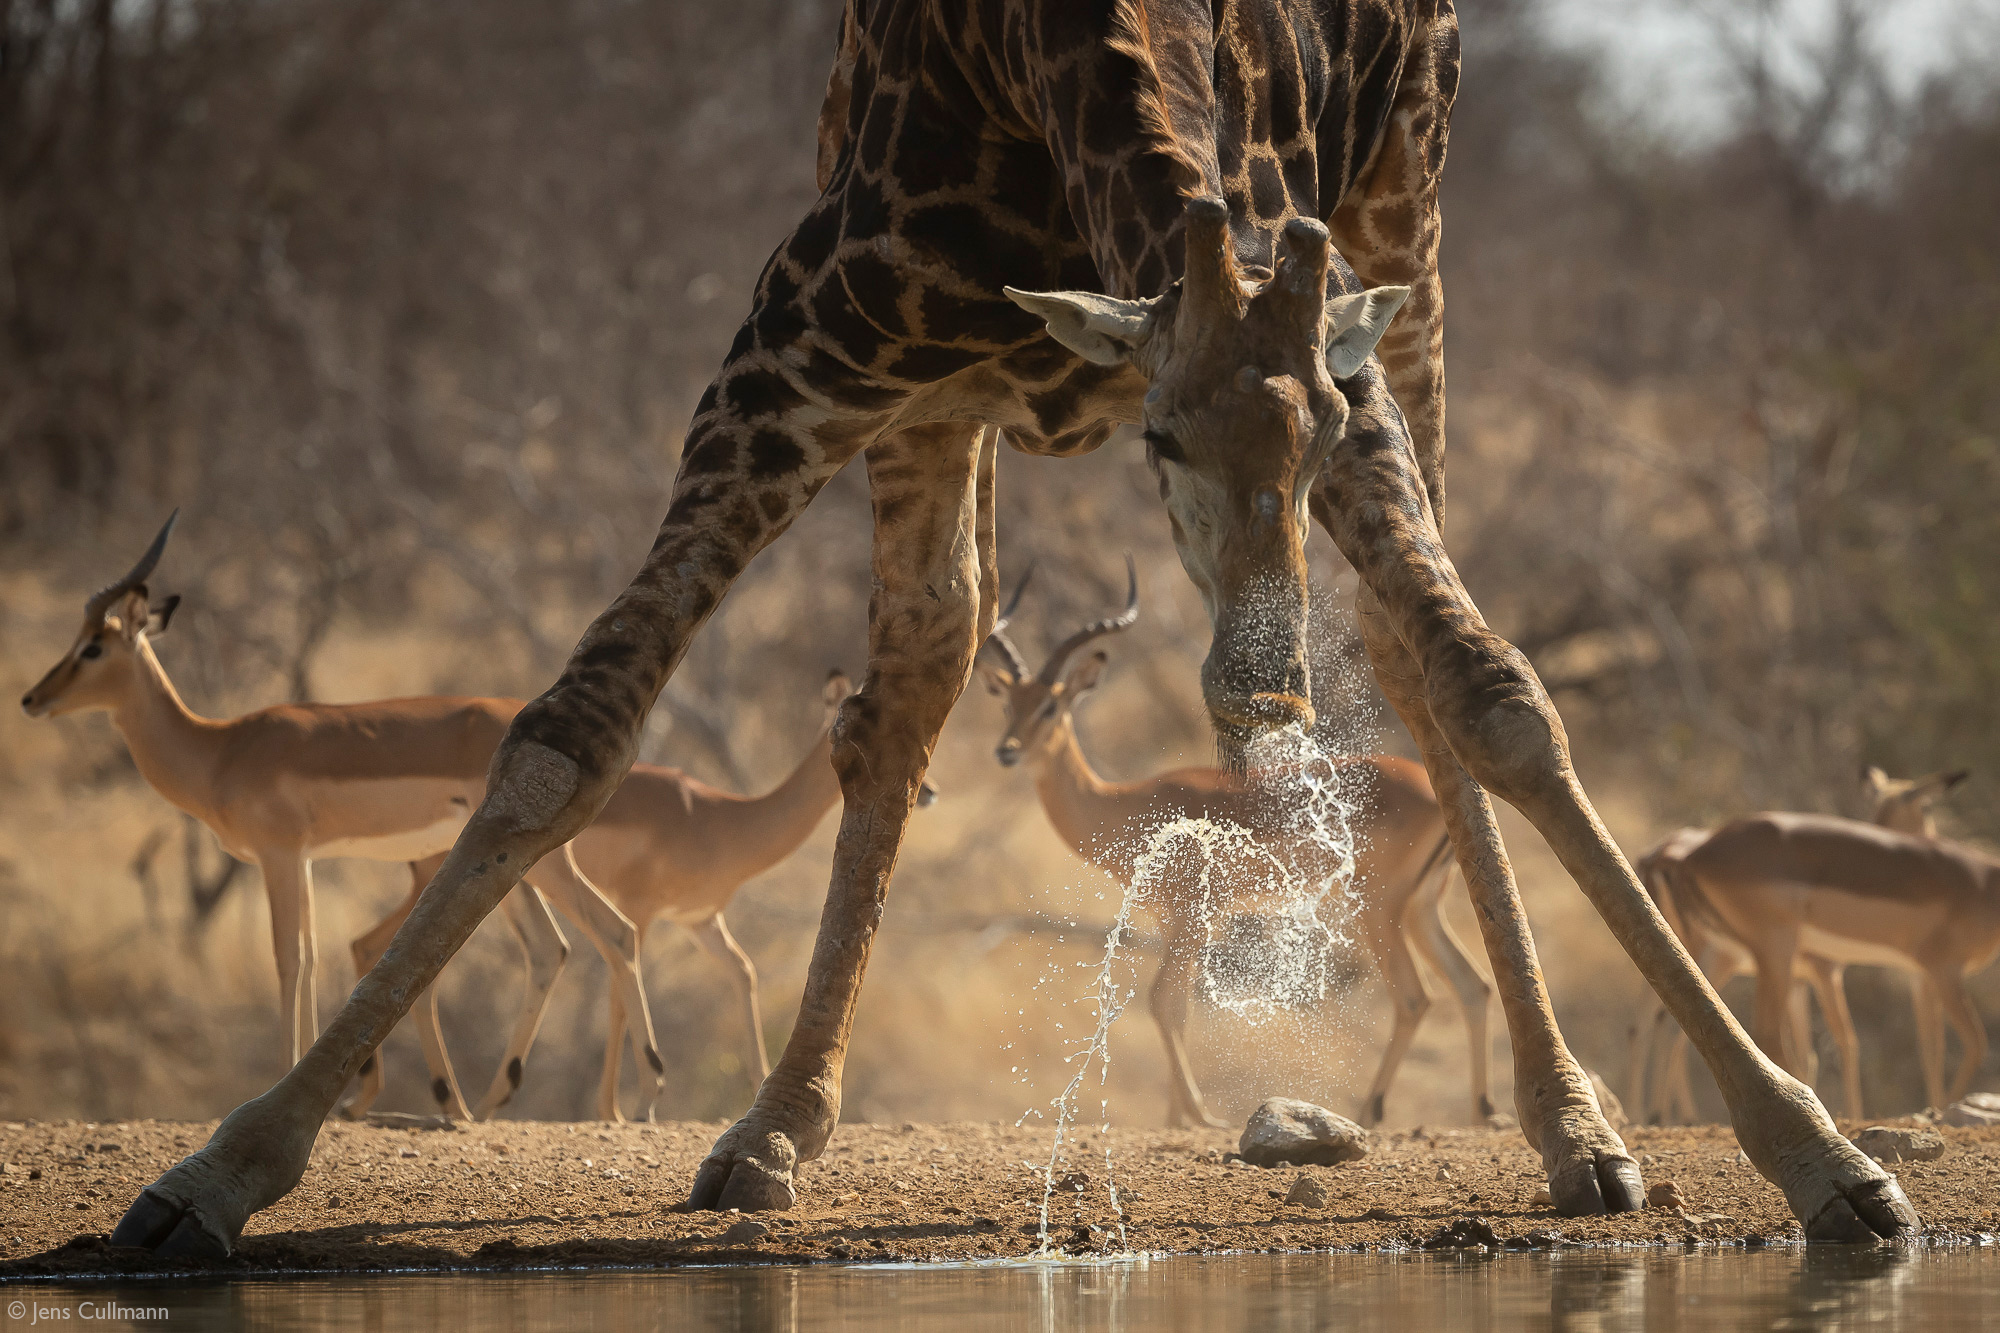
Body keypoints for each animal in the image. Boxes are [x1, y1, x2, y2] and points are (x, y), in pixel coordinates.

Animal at [113, 0, 1920, 1248]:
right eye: (1162, 440)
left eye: (1293, 447)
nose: (1257, 693)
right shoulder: (795, 348)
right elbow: (571, 725)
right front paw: (222, 1163)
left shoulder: (1331, 349)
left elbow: (1494, 688)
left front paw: (1824, 1157)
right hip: (937, 396)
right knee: (917, 660)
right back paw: (774, 1125)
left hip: (1409, 225)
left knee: (1406, 656)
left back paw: (1573, 1124)